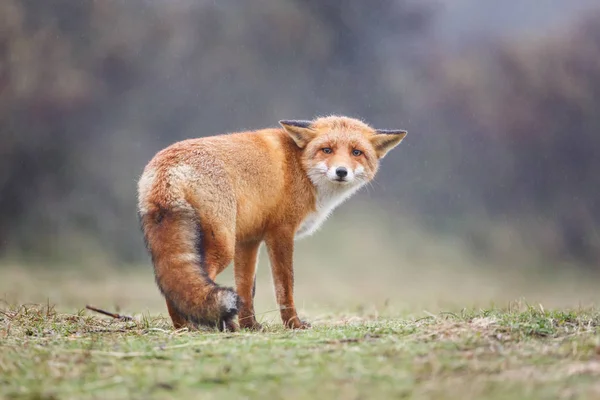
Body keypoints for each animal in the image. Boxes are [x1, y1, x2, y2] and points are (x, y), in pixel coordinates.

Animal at [137, 115, 408, 332]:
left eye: (356, 152)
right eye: (327, 150)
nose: (341, 172)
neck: (301, 166)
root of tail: (167, 166)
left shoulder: (249, 239)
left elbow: (246, 289)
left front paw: (250, 326)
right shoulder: (280, 233)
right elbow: (285, 287)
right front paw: (293, 324)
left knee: (173, 287)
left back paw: (186, 327)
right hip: (221, 247)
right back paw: (209, 326)